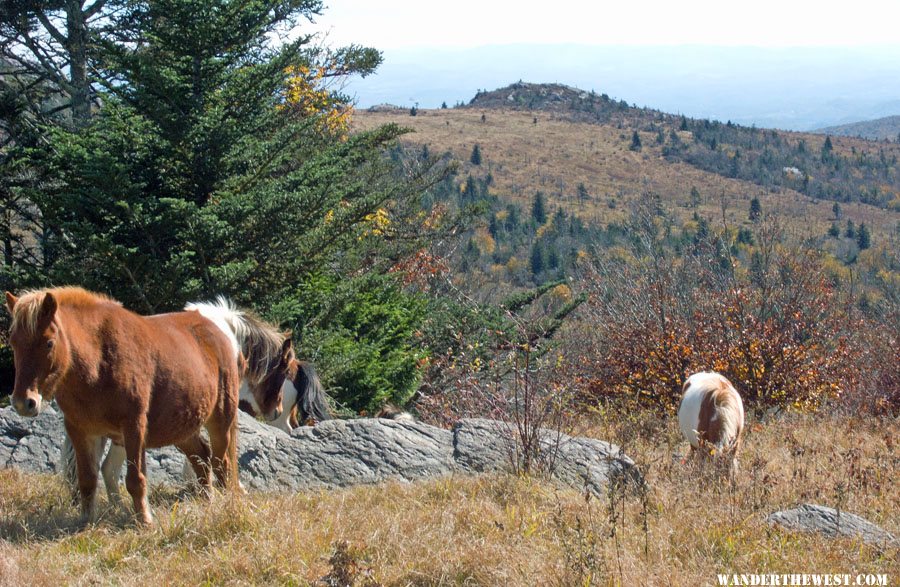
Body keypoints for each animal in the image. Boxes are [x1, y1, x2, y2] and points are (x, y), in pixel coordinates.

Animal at [4, 288, 243, 524]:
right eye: (14, 343)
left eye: (49, 343)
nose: (24, 402)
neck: (98, 361)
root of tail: (219, 330)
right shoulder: (80, 431)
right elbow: (87, 479)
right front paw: (86, 522)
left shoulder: (134, 427)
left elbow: (135, 479)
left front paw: (145, 521)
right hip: (181, 426)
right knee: (201, 456)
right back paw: (207, 500)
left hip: (220, 421)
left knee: (221, 463)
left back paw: (226, 506)